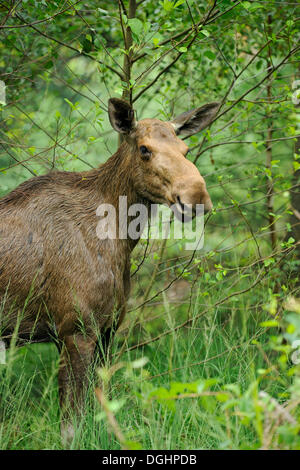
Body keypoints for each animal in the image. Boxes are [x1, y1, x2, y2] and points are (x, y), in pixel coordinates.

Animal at [0, 97, 218, 442]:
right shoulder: (76, 329)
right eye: (144, 149)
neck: (121, 238)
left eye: (185, 148)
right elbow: (71, 423)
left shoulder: (106, 330)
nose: (196, 196)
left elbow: (97, 408)